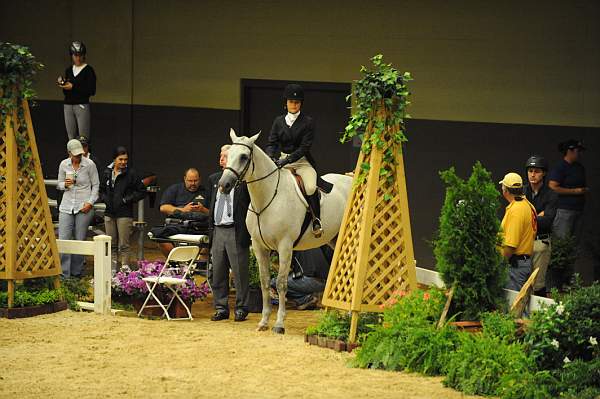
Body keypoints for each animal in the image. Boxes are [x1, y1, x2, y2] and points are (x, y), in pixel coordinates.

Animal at [219, 129, 352, 334]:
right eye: (228, 155)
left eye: (244, 157)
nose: (224, 185)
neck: (266, 199)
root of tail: (351, 178)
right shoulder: (259, 247)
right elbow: (265, 282)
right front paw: (264, 321)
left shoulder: (285, 247)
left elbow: (282, 283)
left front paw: (279, 323)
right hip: (334, 240)